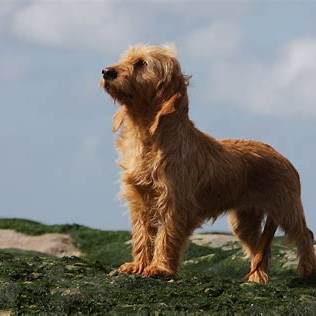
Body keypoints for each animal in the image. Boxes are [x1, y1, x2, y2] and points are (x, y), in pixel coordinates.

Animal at [101, 43, 316, 284]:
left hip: (286, 209)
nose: (106, 72)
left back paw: (307, 269)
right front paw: (138, 264)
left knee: (305, 234)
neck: (149, 137)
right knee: (260, 248)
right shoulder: (139, 201)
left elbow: (166, 236)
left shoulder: (173, 203)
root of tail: (283, 157)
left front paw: (160, 268)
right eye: (125, 59)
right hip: (244, 222)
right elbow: (142, 235)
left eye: (141, 63)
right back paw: (257, 278)